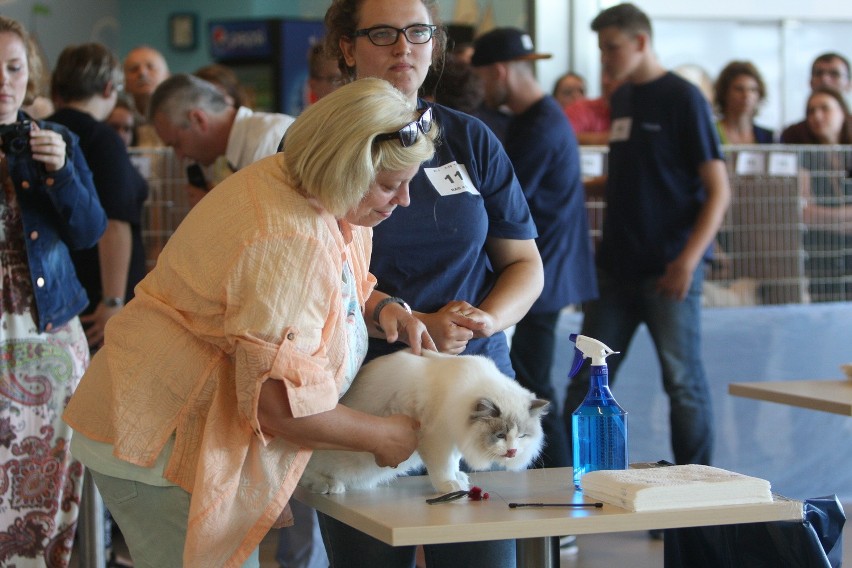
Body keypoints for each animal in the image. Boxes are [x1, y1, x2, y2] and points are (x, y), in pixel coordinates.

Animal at [300, 346, 548, 492]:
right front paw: (449, 485)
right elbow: (442, 468)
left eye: (522, 436)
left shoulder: (454, 440)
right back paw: (329, 486)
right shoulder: (437, 440)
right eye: (500, 435)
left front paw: (459, 478)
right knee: (305, 477)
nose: (512, 452)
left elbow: (454, 463)